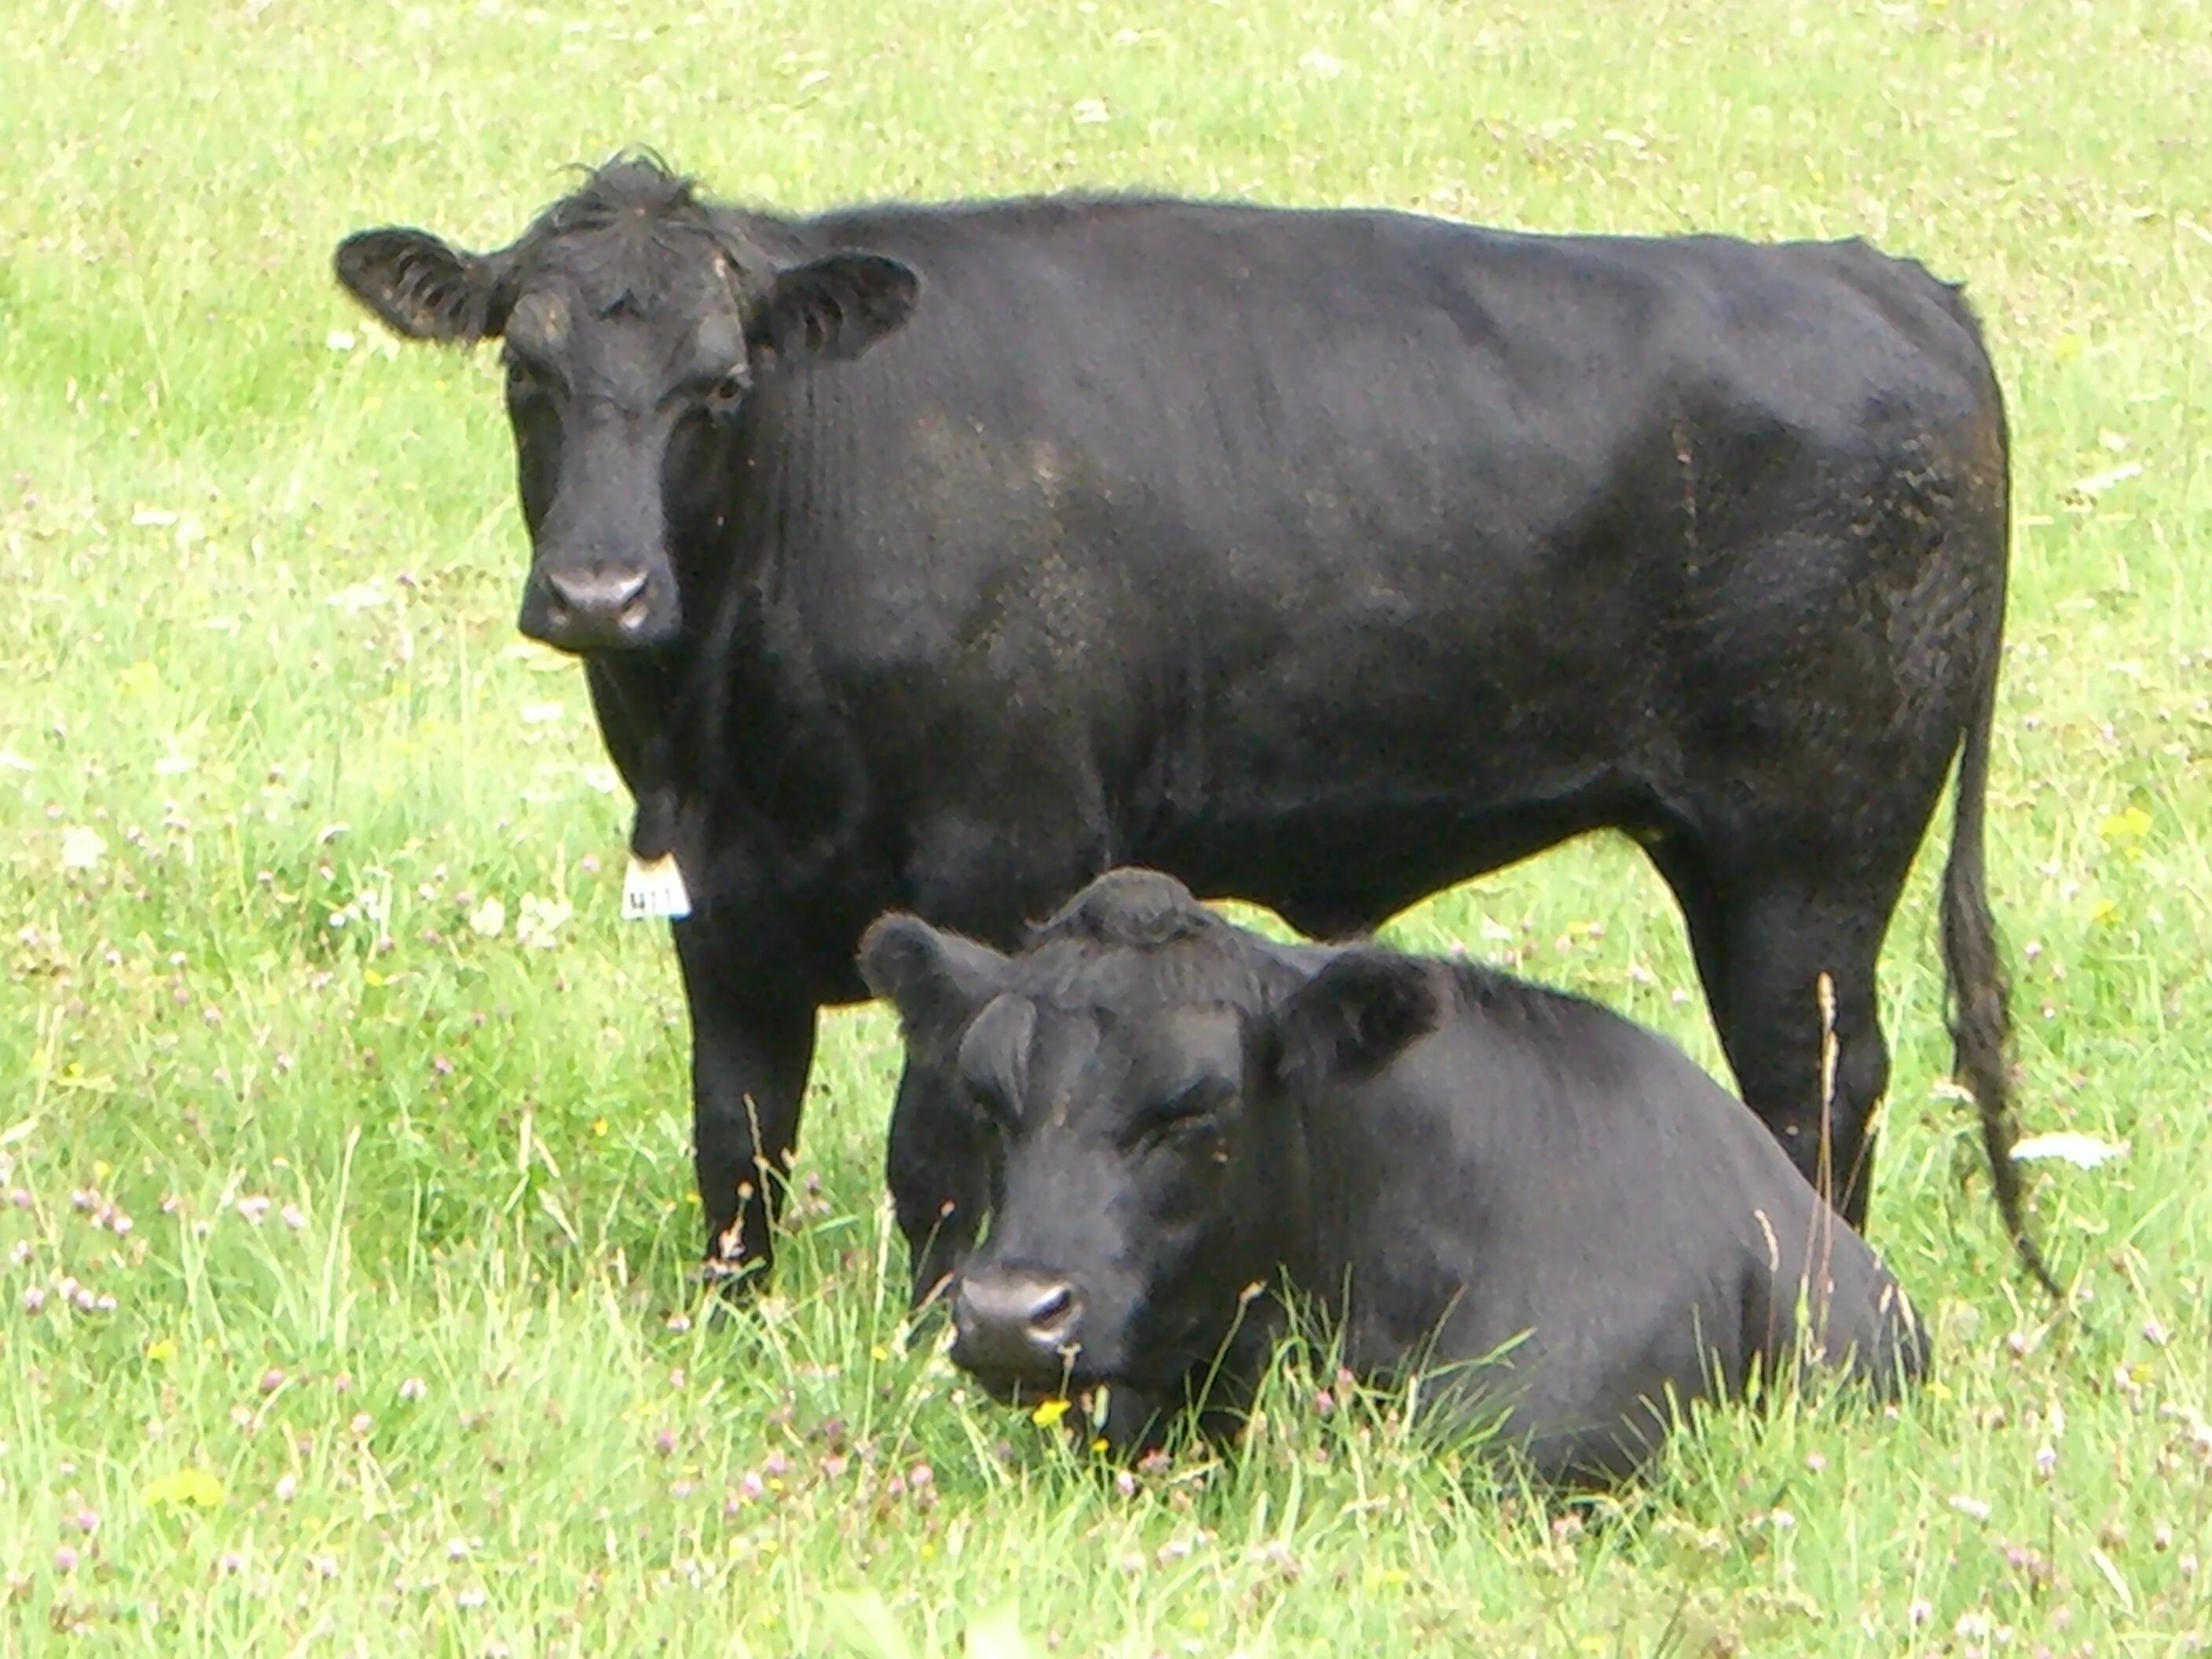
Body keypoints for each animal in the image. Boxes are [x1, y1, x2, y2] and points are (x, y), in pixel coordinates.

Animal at [331, 156, 2053, 1300]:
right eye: (526, 370)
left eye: (724, 384)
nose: (600, 591)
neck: (726, 732)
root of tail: (1881, 277)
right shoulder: (723, 915)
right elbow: (735, 1150)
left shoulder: (999, 863)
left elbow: (935, 1154)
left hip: (1803, 865)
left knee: (1814, 1088)